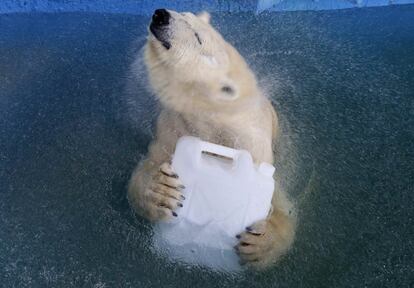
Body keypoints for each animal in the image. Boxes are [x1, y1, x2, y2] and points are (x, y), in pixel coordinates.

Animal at [128, 9, 296, 270]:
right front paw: (161, 192)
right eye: (184, 13)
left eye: (197, 37)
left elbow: (282, 205)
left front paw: (260, 241)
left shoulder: (255, 147)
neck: (213, 123)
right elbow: (147, 169)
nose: (161, 15)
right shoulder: (170, 128)